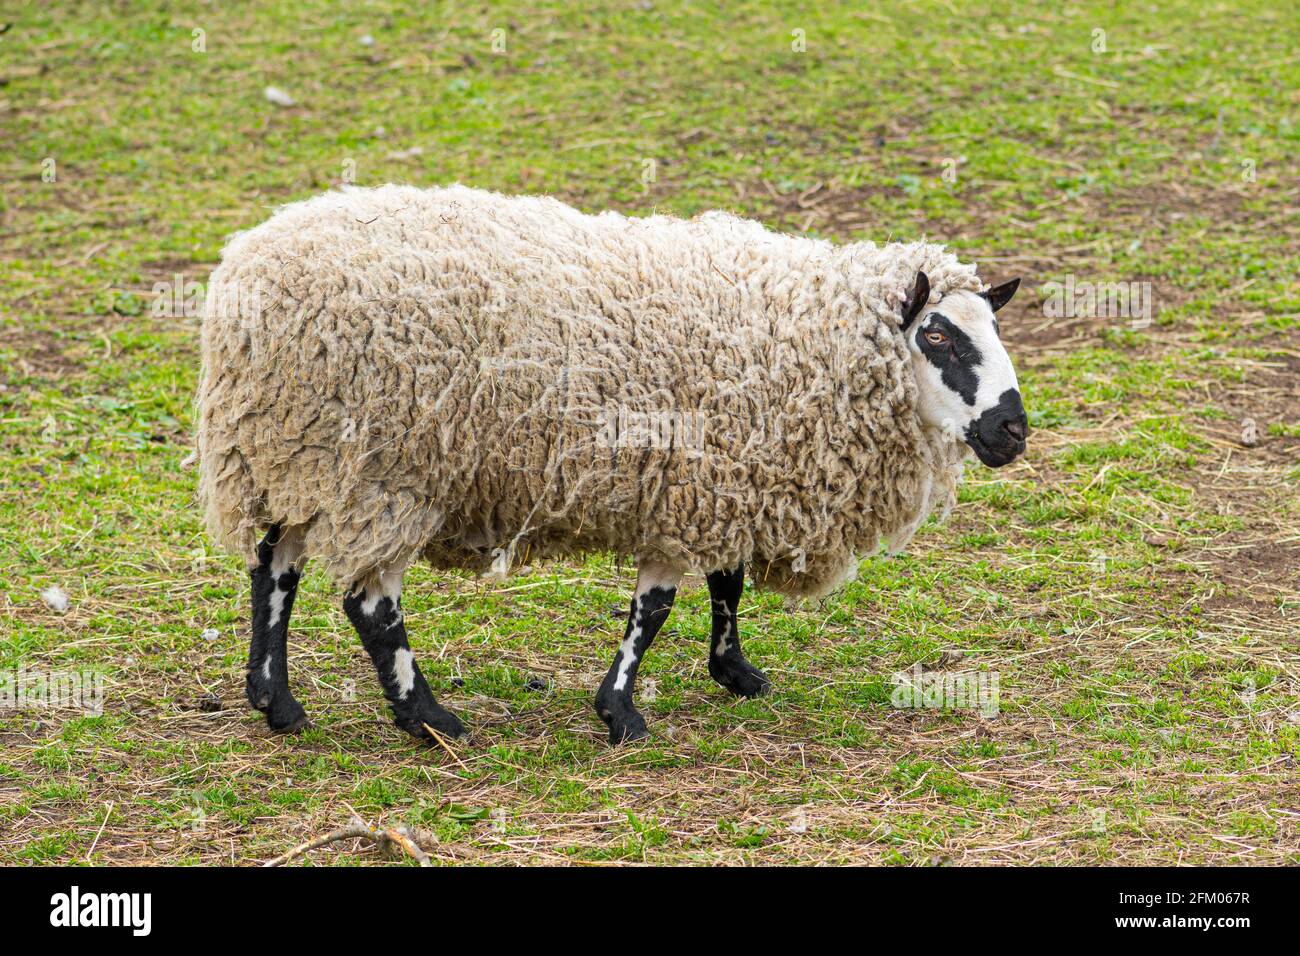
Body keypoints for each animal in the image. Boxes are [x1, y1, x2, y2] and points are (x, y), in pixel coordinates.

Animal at [195, 180, 1024, 749]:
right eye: (939, 337)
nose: (1012, 430)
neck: (801, 335)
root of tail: (245, 269)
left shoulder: (722, 478)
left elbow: (726, 583)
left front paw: (734, 672)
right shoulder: (688, 486)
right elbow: (655, 607)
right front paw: (620, 712)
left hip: (297, 456)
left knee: (274, 565)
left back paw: (277, 702)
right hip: (382, 470)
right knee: (370, 603)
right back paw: (427, 717)